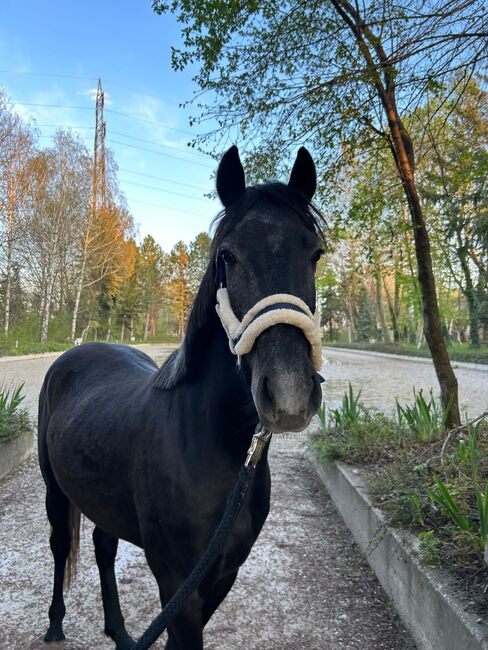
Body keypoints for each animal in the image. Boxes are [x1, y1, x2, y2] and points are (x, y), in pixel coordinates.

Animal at [38, 144, 324, 644]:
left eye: (315, 254)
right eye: (227, 255)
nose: (289, 392)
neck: (214, 445)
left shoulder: (221, 575)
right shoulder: (178, 585)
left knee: (103, 547)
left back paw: (119, 632)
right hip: (55, 490)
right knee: (60, 547)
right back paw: (56, 624)